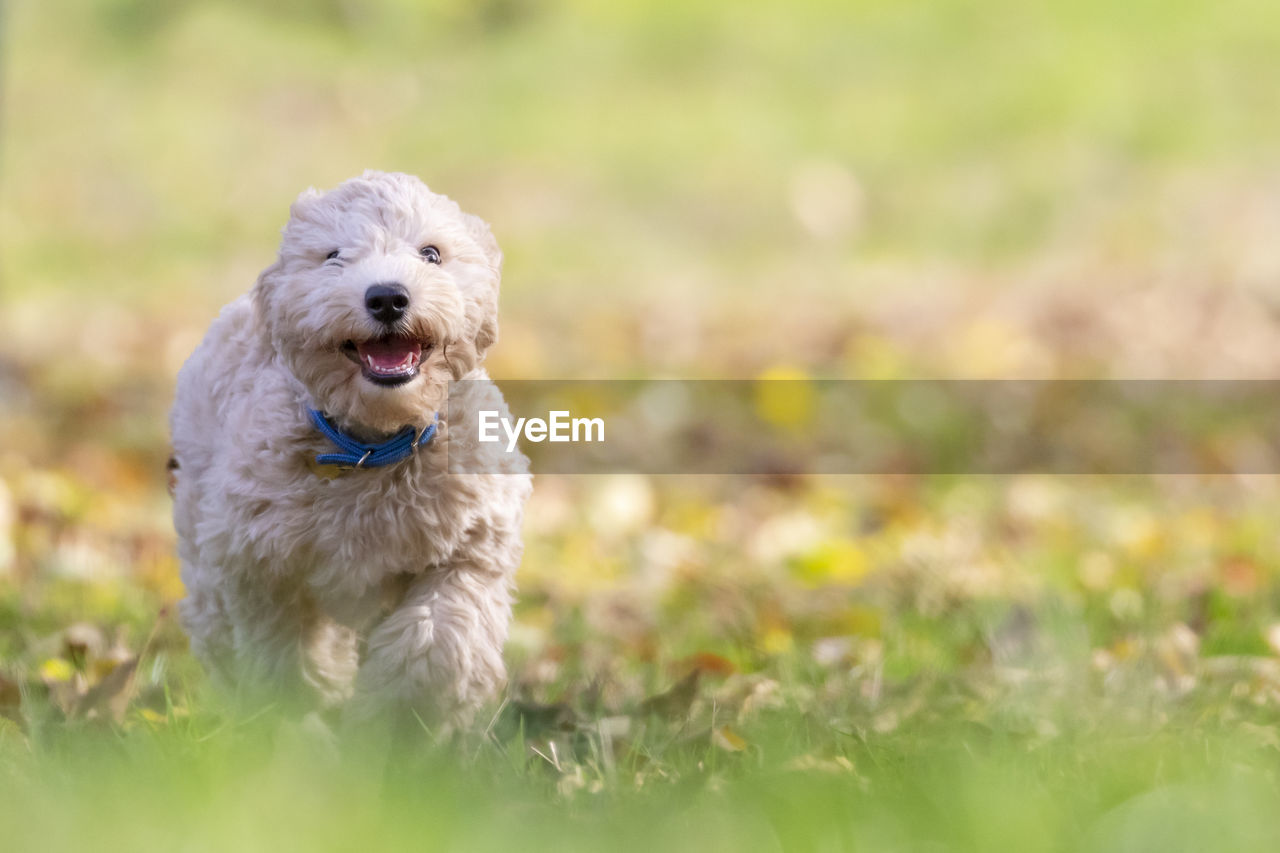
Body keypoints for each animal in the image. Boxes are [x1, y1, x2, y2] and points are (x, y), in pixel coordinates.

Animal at [170, 171, 529, 722]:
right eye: (333, 255)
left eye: (431, 253)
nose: (387, 297)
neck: (374, 445)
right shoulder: (257, 562)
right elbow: (283, 653)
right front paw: (301, 721)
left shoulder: (472, 545)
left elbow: (438, 637)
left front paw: (396, 720)